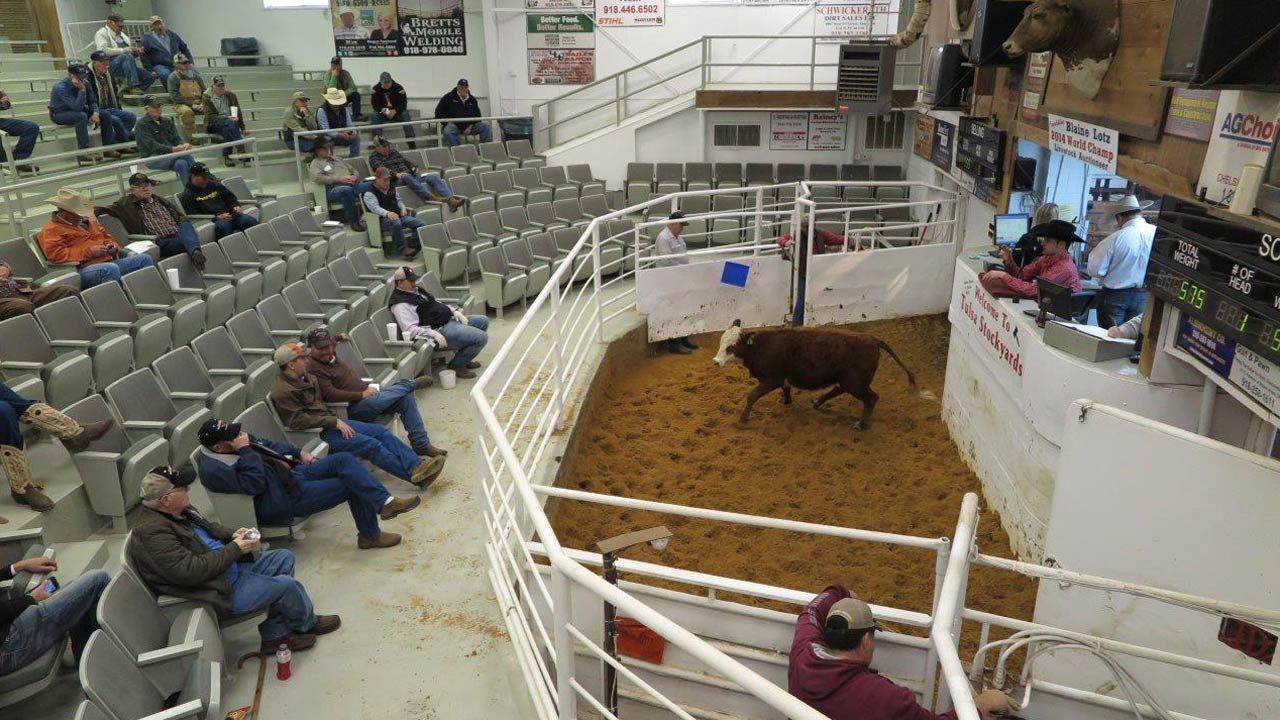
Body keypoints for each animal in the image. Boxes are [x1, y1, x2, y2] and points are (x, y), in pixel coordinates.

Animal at [712, 321, 933, 430]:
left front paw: (742, 420)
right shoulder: (782, 377)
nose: (715, 361)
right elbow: (786, 387)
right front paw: (787, 401)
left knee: (871, 398)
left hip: (856, 382)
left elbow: (752, 396)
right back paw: (818, 401)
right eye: (721, 342)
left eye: (731, 347)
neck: (759, 347)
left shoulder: (771, 379)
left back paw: (861, 424)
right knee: (839, 389)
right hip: (850, 380)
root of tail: (873, 340)